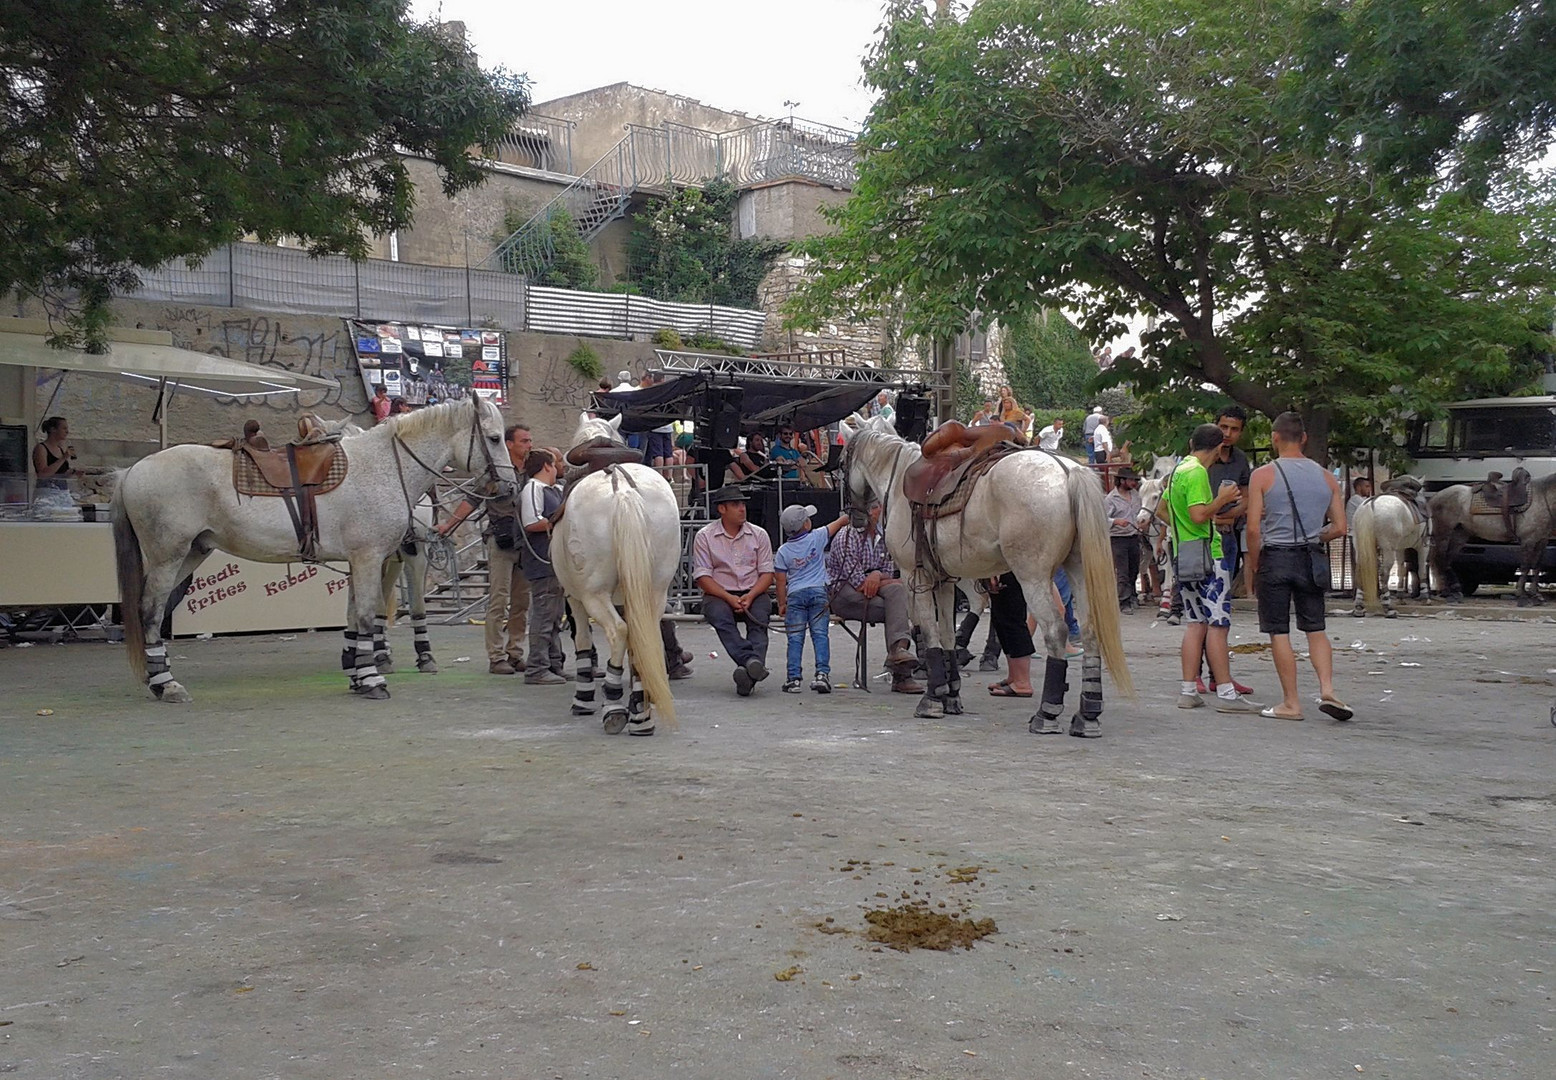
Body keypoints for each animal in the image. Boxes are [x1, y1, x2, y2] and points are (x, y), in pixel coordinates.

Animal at [116, 398, 516, 703]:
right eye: (494, 438)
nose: (510, 486)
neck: (384, 466)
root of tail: (132, 470)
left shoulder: (361, 561)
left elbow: (355, 617)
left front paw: (358, 673)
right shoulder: (370, 558)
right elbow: (367, 617)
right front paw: (372, 679)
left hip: (192, 553)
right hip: (168, 556)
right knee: (150, 610)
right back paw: (166, 684)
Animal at [557, 413, 684, 737]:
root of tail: (622, 488)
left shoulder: (574, 598)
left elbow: (582, 641)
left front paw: (583, 698)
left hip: (594, 594)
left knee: (618, 632)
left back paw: (613, 706)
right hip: (653, 590)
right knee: (643, 634)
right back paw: (640, 713)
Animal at [840, 413, 1132, 737]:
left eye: (840, 462)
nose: (855, 517)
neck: (901, 475)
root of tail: (1068, 471)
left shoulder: (913, 577)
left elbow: (929, 633)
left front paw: (932, 699)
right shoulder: (944, 580)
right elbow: (946, 635)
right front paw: (951, 695)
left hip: (1032, 577)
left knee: (1056, 631)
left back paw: (1047, 713)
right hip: (1078, 570)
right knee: (1091, 631)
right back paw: (1087, 715)